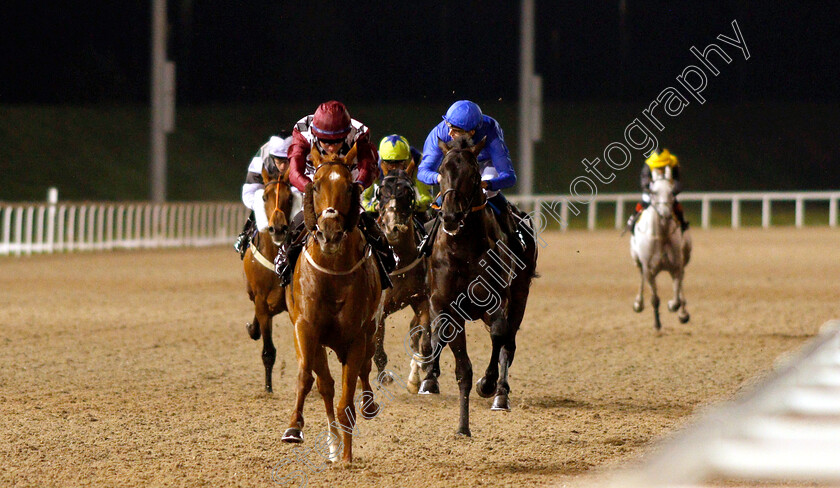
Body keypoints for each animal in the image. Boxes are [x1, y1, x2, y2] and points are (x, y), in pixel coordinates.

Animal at [628, 166, 692, 330]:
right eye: (654, 192)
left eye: (672, 192)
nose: (665, 214)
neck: (661, 236)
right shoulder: (649, 269)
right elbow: (655, 298)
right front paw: (657, 324)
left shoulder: (676, 266)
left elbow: (676, 299)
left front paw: (675, 308)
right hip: (636, 260)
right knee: (641, 276)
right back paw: (638, 304)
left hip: (685, 256)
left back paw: (683, 312)